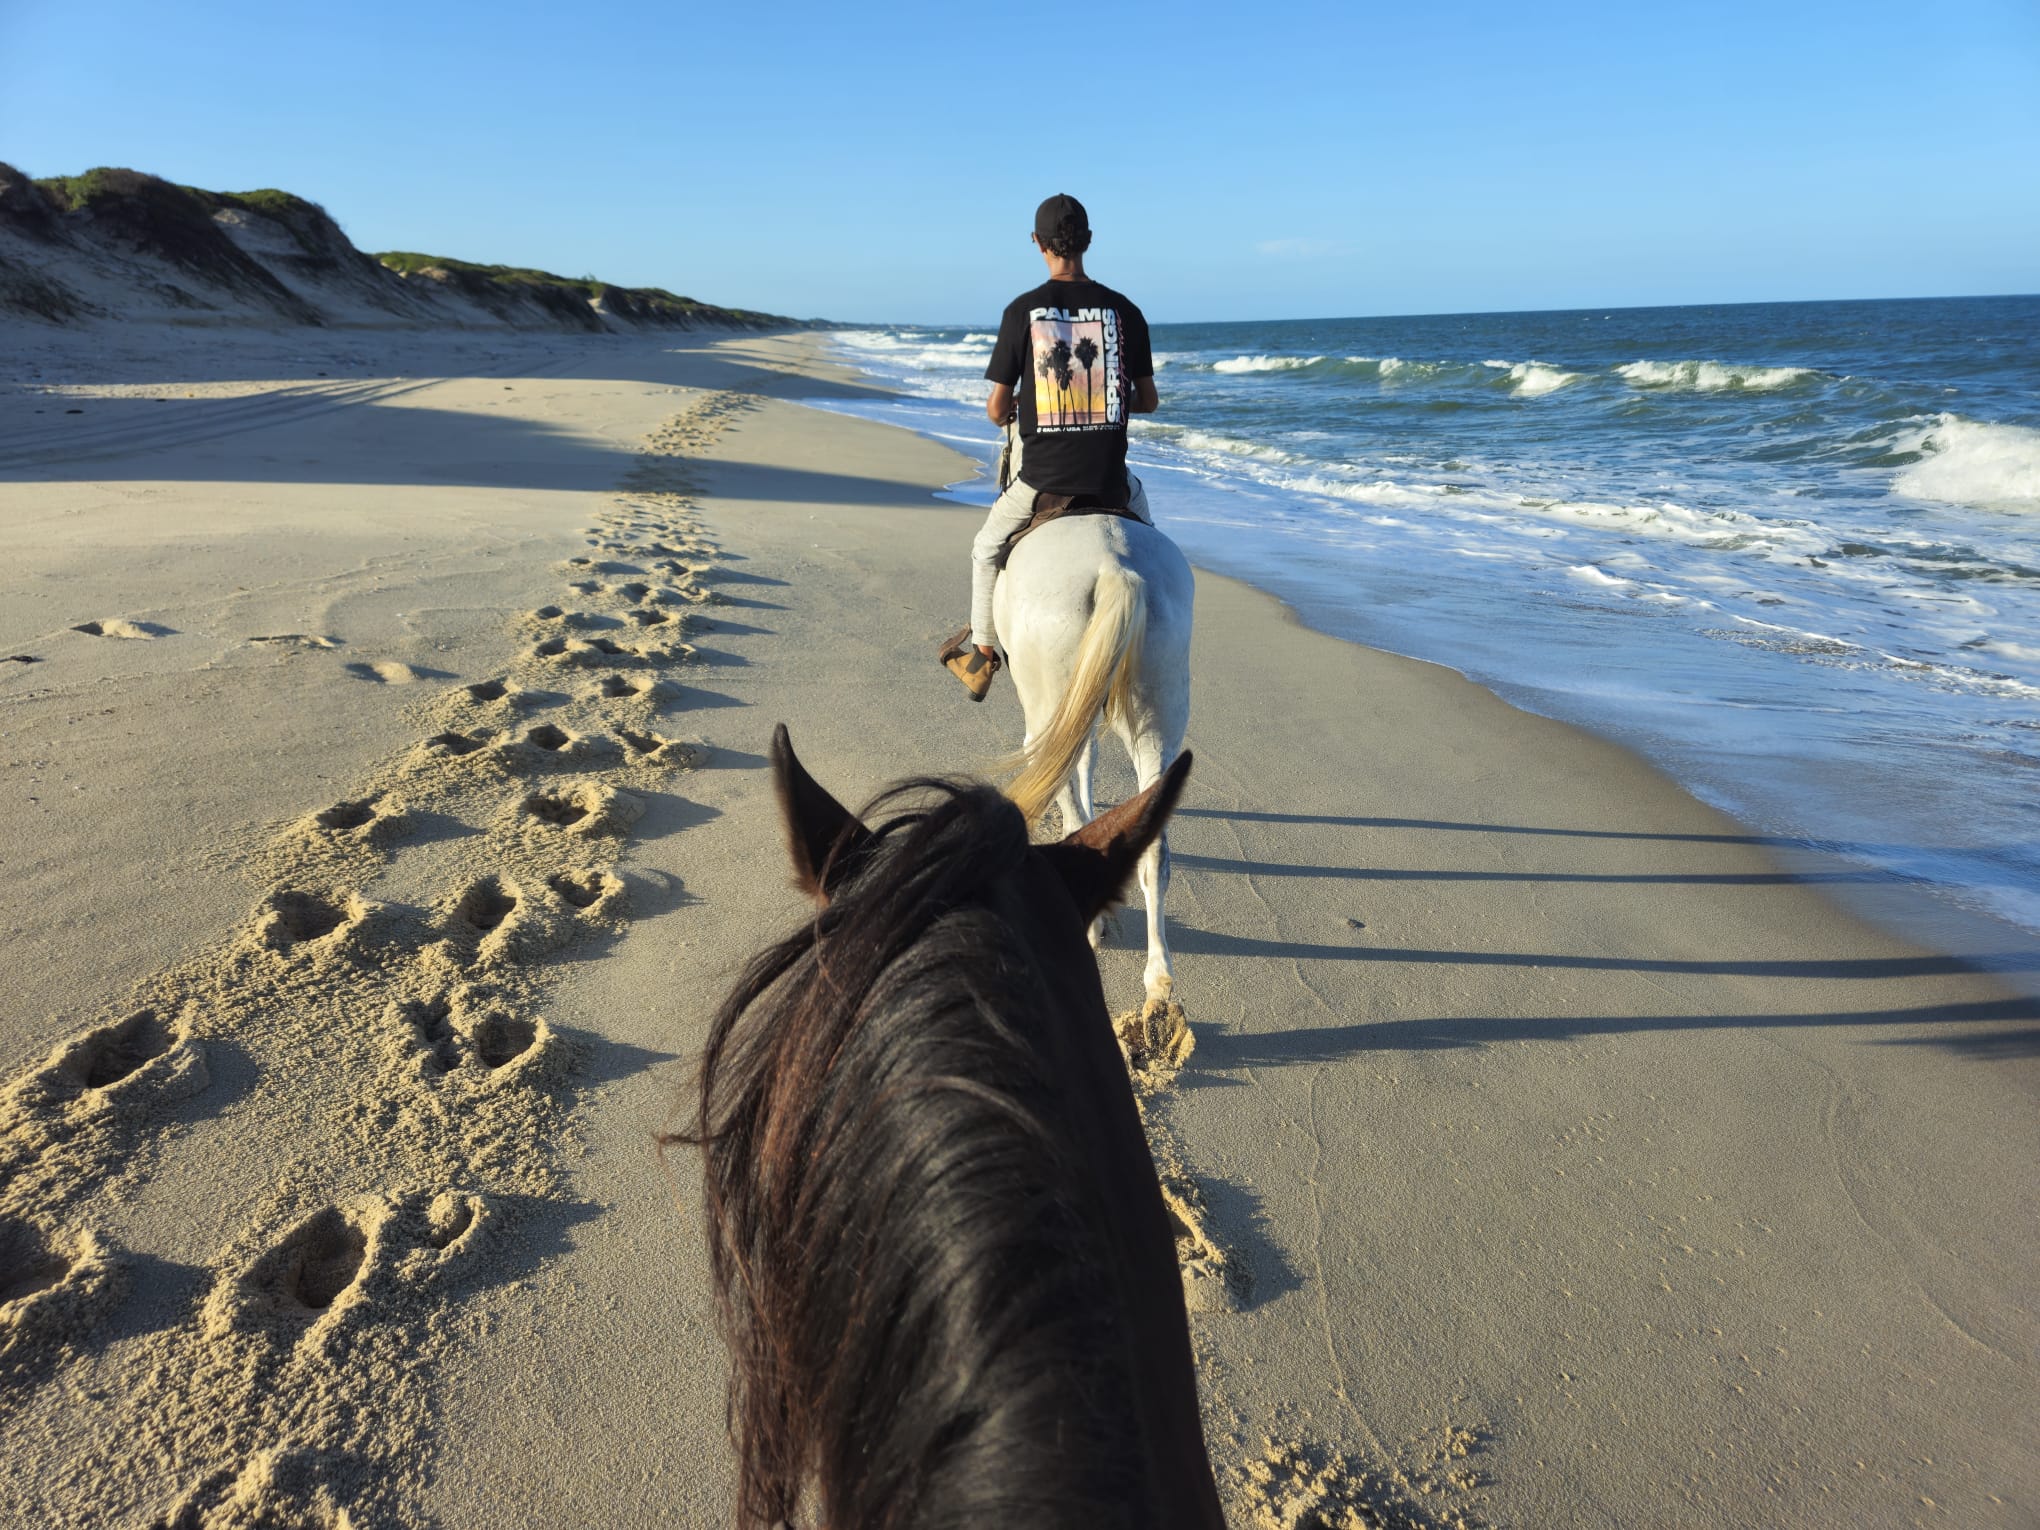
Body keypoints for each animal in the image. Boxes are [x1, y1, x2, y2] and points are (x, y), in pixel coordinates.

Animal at [992, 423, 1195, 1060]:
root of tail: (1113, 567)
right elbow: (1087, 766)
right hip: (1159, 709)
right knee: (1157, 845)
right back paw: (1158, 985)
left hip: (1048, 705)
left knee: (1065, 791)